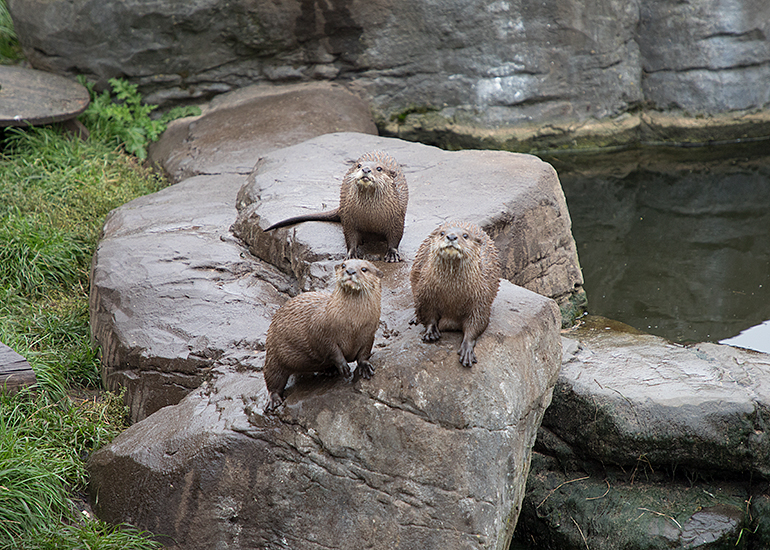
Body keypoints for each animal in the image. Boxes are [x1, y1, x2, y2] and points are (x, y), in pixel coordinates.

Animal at [263, 259, 383, 411]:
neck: (354, 325)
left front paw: (365, 367)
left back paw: (329, 371)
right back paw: (274, 400)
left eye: (364, 269)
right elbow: (331, 350)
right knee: (273, 378)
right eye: (344, 265)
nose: (350, 271)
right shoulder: (321, 331)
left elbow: (364, 353)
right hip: (273, 352)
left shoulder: (369, 334)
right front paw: (343, 366)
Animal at [264, 151, 409, 262]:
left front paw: (392, 254)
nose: (366, 169)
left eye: (379, 168)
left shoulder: (397, 217)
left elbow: (395, 236)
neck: (371, 216)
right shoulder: (349, 218)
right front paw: (351, 254)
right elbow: (350, 236)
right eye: (359, 166)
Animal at [409, 221, 501, 367]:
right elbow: (427, 313)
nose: (451, 236)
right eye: (442, 233)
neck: (452, 294)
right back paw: (415, 318)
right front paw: (431, 331)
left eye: (465, 235)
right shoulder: (425, 293)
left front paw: (467, 348)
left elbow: (478, 322)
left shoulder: (481, 300)